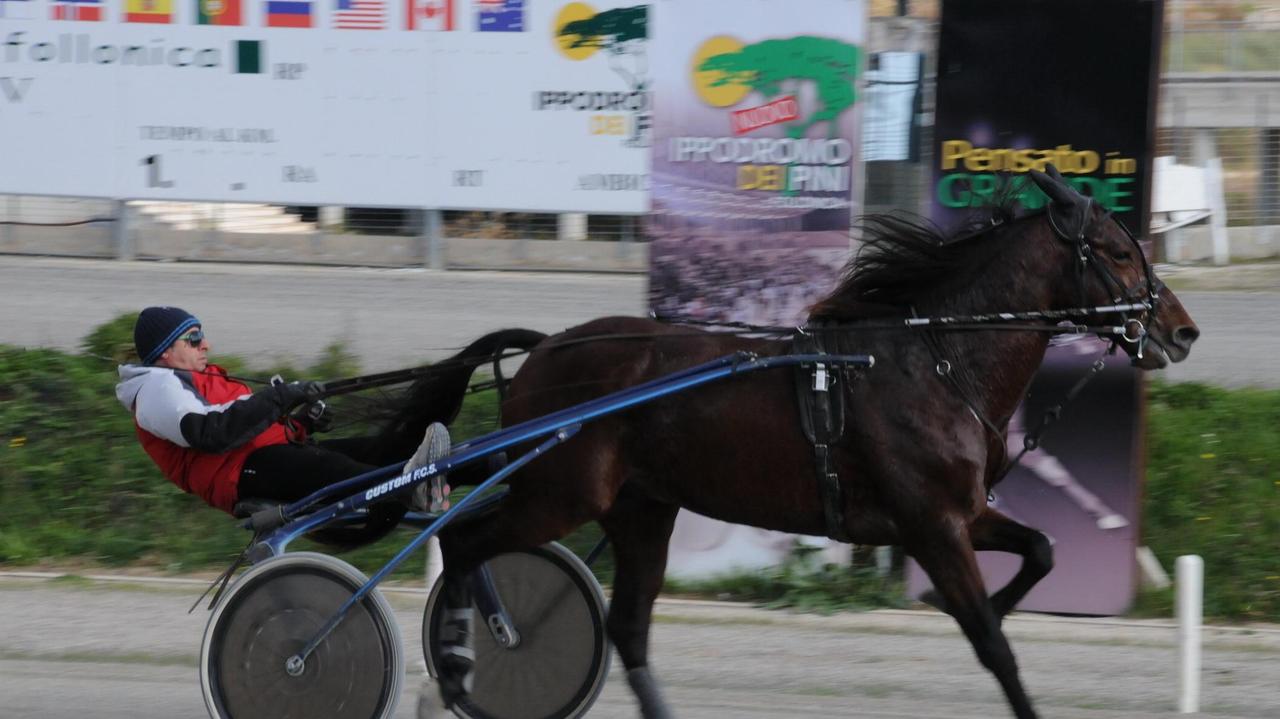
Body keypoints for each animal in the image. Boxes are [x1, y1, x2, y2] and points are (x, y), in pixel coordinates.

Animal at [405, 167, 1198, 719]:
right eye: (1119, 252)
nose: (1182, 330)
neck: (935, 360)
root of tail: (545, 349)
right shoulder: (933, 524)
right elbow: (994, 645)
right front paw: (985, 622)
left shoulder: (960, 512)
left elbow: (1041, 551)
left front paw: (997, 601)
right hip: (561, 493)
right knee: (469, 540)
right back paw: (457, 664)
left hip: (640, 509)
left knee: (626, 625)